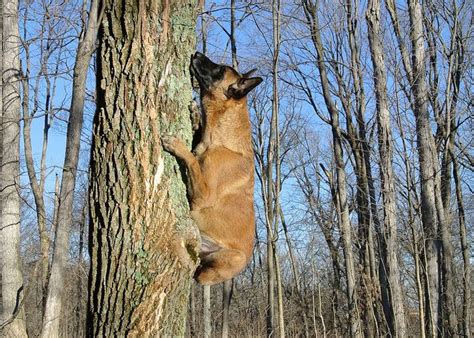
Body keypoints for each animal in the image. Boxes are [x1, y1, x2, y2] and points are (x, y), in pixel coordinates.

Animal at [161, 52, 262, 286]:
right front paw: (196, 116)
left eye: (220, 70)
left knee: (199, 275)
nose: (197, 53)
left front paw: (177, 145)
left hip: (226, 260)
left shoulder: (203, 194)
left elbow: (191, 160)